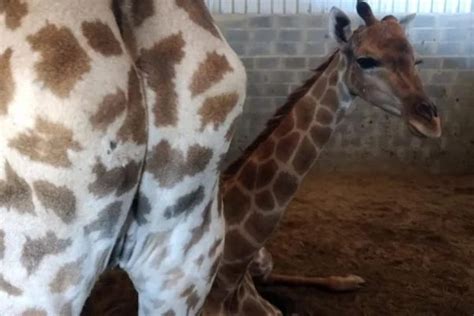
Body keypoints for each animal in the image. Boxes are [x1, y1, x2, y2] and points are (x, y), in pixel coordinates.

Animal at [203, 1, 440, 314]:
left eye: (417, 61)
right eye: (366, 60)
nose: (430, 121)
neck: (229, 275)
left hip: (265, 261)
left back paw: (346, 280)